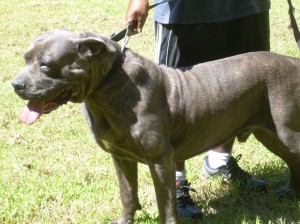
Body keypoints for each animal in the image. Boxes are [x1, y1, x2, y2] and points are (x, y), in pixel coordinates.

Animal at [11, 28, 300, 223]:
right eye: (25, 59)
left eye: (46, 65)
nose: (16, 84)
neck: (108, 86)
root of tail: (293, 61)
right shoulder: (121, 157)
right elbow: (127, 194)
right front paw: (125, 220)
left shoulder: (160, 159)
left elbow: (166, 204)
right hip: (269, 134)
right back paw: (291, 193)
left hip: (285, 133)